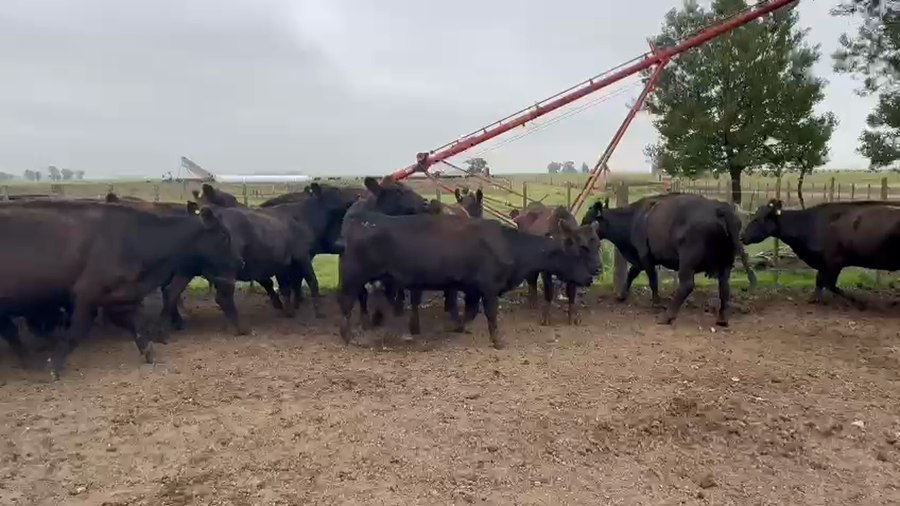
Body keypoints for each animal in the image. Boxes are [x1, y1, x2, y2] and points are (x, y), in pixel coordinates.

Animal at [0, 200, 240, 380]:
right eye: (224, 235)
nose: (240, 262)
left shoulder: (121, 296)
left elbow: (137, 327)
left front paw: (149, 353)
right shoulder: (86, 294)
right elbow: (75, 332)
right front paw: (54, 367)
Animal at [336, 212, 600, 348]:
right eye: (580, 250)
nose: (591, 276)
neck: (509, 245)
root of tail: (361, 219)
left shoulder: (472, 289)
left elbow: (470, 312)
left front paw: (458, 327)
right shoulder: (489, 288)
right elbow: (491, 314)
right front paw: (497, 341)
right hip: (352, 277)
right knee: (346, 304)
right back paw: (348, 336)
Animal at [582, 193, 756, 327]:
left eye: (587, 220)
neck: (633, 218)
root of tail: (719, 207)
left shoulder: (645, 255)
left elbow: (652, 280)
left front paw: (656, 303)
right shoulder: (642, 257)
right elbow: (632, 273)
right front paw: (621, 295)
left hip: (688, 261)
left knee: (687, 285)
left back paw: (667, 316)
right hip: (725, 263)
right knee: (724, 287)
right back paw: (722, 319)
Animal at [741, 199, 900, 307]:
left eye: (756, 219)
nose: (742, 236)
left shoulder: (833, 262)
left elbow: (829, 284)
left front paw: (857, 300)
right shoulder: (825, 264)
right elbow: (820, 281)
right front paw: (814, 298)